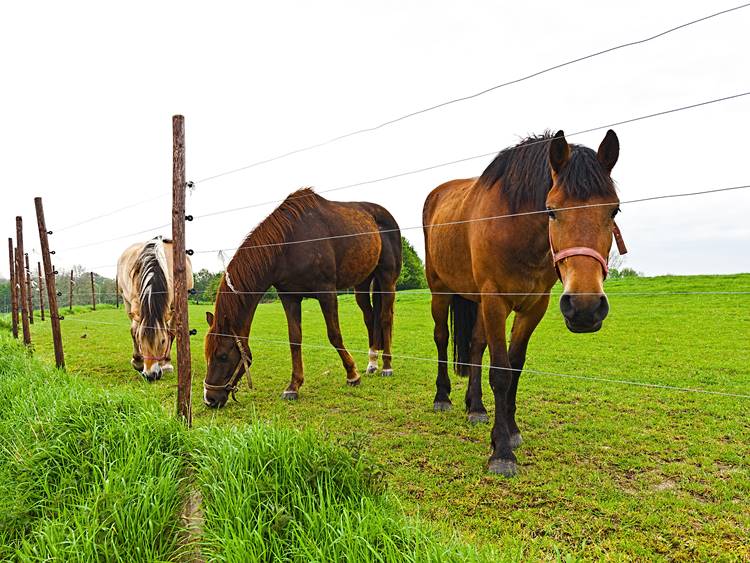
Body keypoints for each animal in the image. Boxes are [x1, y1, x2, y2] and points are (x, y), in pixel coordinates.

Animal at [117, 236, 194, 382]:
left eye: (162, 341)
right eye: (141, 340)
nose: (150, 375)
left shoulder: (174, 307)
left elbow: (171, 332)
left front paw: (167, 363)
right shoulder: (135, 303)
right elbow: (134, 330)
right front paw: (137, 362)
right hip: (126, 301)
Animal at [203, 189, 402, 410]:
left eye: (222, 355)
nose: (210, 399)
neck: (289, 244)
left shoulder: (327, 293)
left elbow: (334, 335)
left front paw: (352, 375)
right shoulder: (290, 298)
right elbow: (294, 340)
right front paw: (293, 386)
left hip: (387, 279)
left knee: (385, 317)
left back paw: (387, 366)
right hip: (362, 283)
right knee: (370, 318)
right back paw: (372, 363)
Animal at [424, 129, 628, 476]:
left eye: (613, 211)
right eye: (551, 210)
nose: (585, 308)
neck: (515, 229)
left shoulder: (534, 306)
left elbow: (515, 367)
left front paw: (510, 431)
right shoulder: (495, 302)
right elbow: (501, 372)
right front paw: (502, 453)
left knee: (476, 346)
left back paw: (475, 407)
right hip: (441, 291)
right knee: (441, 338)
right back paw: (443, 398)